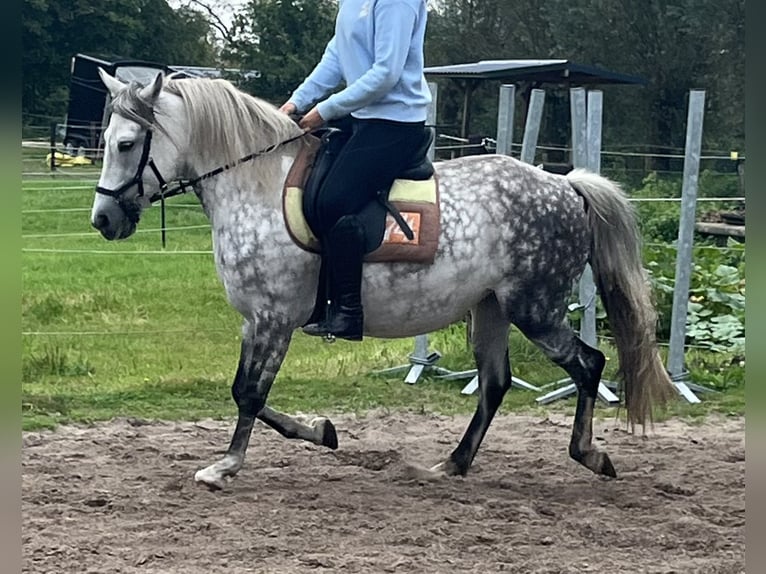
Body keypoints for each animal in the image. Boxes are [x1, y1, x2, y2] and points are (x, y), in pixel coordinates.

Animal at [91, 70, 680, 492]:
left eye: (126, 144)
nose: (103, 220)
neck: (255, 183)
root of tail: (565, 185)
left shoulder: (273, 318)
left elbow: (249, 394)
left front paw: (226, 466)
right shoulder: (255, 320)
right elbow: (248, 393)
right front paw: (320, 432)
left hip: (535, 309)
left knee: (589, 365)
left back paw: (591, 455)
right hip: (491, 308)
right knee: (495, 383)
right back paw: (452, 464)